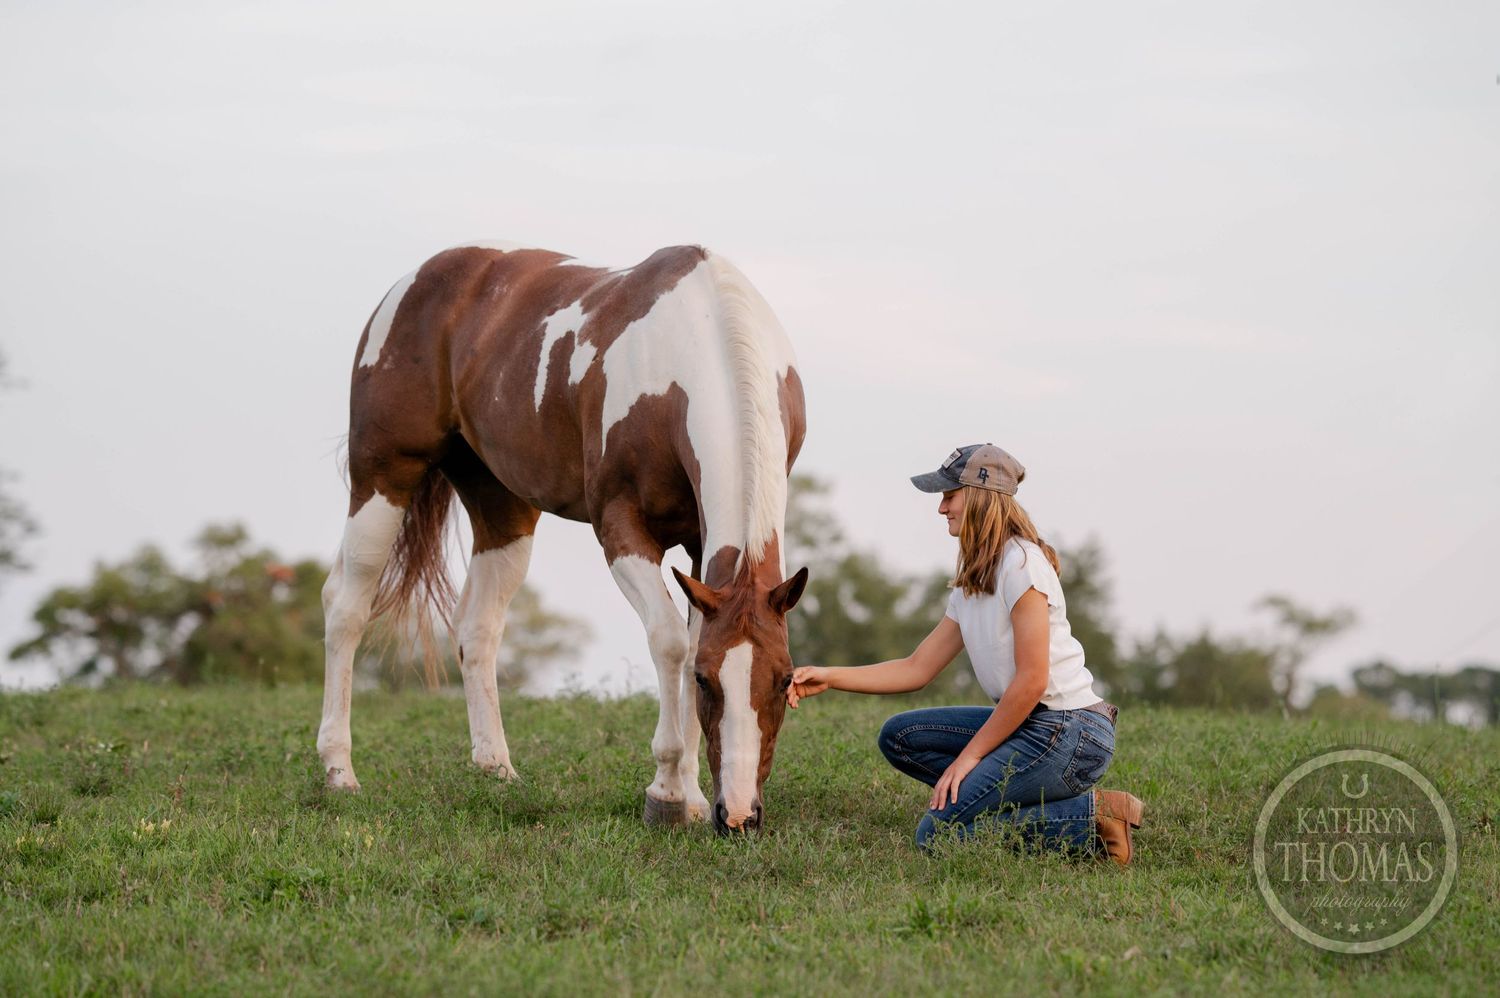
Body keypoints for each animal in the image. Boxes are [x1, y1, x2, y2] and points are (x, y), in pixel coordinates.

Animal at [316, 241, 808, 833]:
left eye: (784, 679)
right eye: (707, 682)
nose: (738, 816)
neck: (699, 338)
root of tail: (420, 278)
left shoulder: (700, 549)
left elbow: (690, 641)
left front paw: (689, 795)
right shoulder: (620, 529)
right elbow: (671, 643)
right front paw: (666, 793)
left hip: (501, 509)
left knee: (477, 628)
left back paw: (496, 769)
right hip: (382, 478)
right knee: (346, 606)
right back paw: (338, 771)